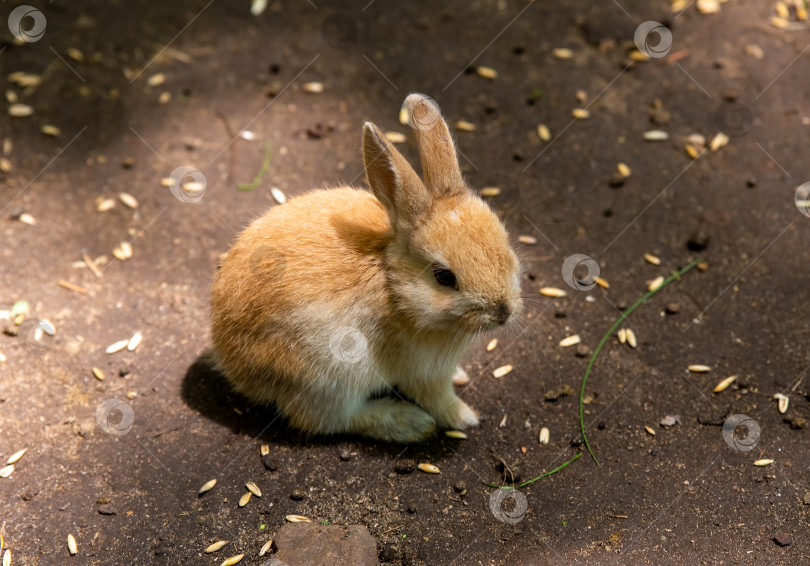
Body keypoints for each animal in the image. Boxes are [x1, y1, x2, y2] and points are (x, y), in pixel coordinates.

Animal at [210, 93, 524, 444]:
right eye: (444, 278)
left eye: (505, 243)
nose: (503, 311)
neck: (395, 287)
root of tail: (231, 363)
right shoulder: (423, 373)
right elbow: (437, 399)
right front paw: (465, 418)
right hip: (330, 376)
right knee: (327, 420)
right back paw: (409, 423)